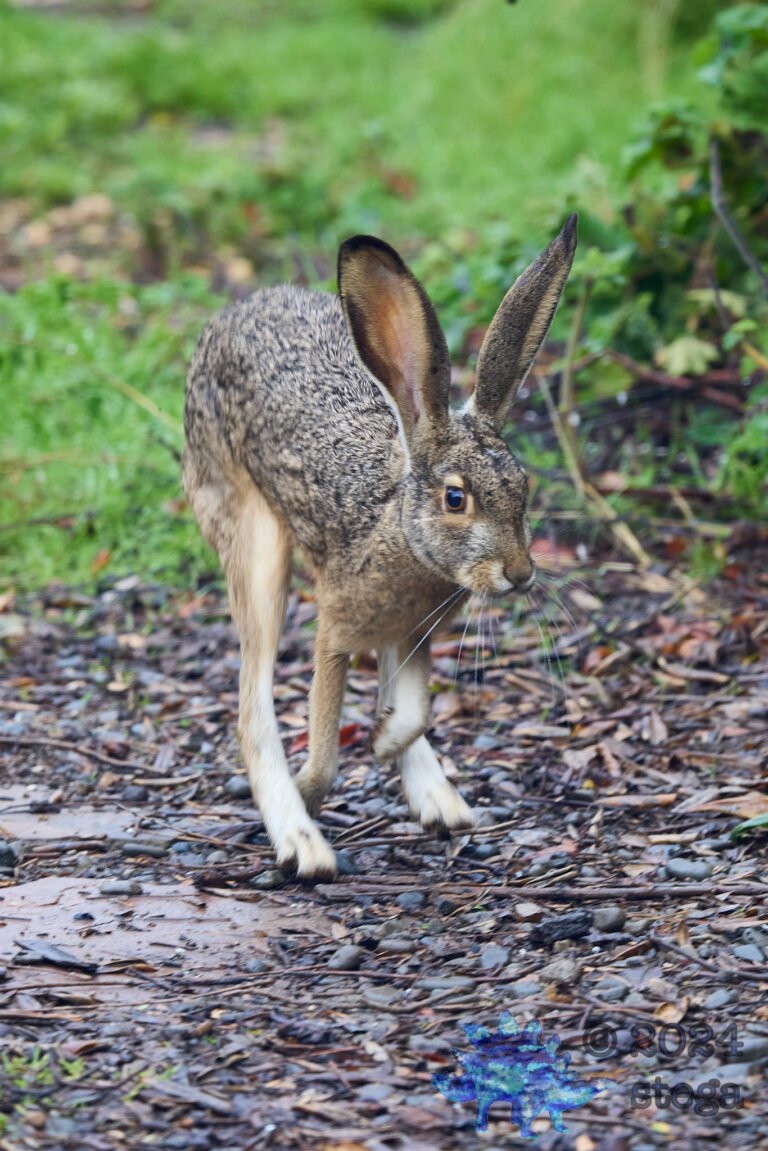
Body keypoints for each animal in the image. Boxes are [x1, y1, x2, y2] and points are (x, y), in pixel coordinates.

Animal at [183, 213, 577, 878]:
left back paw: (440, 801)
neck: (405, 534)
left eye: (523, 487)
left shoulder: (416, 631)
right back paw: (300, 842)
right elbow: (324, 744)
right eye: (455, 498)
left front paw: (383, 738)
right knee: (251, 702)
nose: (520, 574)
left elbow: (416, 711)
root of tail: (231, 316)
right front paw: (314, 791)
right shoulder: (336, 630)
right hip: (252, 540)